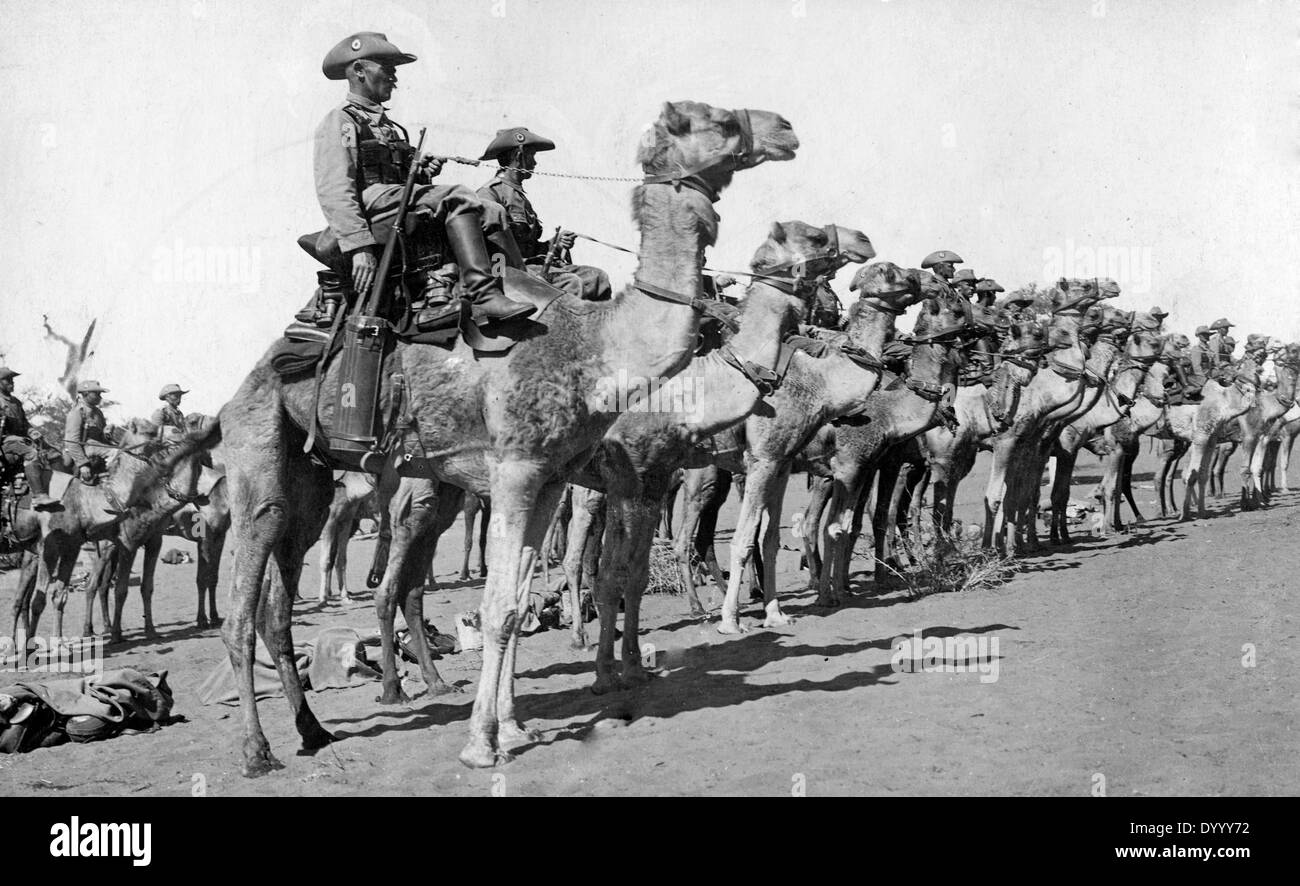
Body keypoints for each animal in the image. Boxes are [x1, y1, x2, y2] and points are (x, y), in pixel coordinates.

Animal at [217, 98, 795, 774]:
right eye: (720, 121)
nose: (785, 128)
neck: (595, 347)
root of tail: (244, 384)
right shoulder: (522, 469)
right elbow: (501, 607)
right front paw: (481, 746)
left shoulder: (549, 478)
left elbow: (519, 603)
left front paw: (512, 728)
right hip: (257, 446)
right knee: (245, 601)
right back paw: (259, 751)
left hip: (311, 478)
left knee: (279, 602)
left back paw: (313, 731)